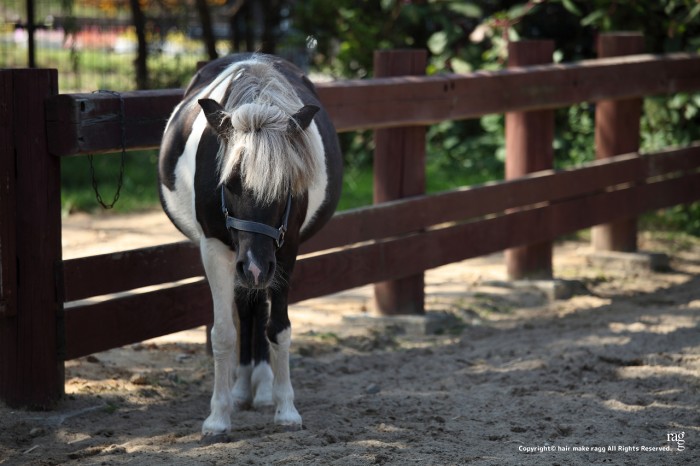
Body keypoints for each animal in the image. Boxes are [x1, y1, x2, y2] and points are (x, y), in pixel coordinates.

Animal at [158, 53, 343, 438]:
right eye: (229, 183)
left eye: (287, 185)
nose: (256, 267)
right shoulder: (216, 248)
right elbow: (224, 333)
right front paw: (218, 416)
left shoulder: (285, 250)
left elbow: (279, 328)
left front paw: (286, 408)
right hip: (239, 259)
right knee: (246, 308)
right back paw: (243, 389)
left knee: (258, 308)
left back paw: (261, 388)